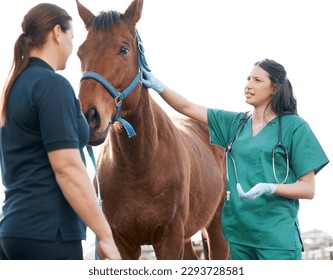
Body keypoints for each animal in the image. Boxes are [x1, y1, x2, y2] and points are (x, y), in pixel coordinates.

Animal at [76, 0, 228, 260]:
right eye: (80, 52)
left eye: (124, 49)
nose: (88, 117)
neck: (139, 165)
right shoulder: (120, 243)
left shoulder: (169, 240)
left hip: (217, 228)